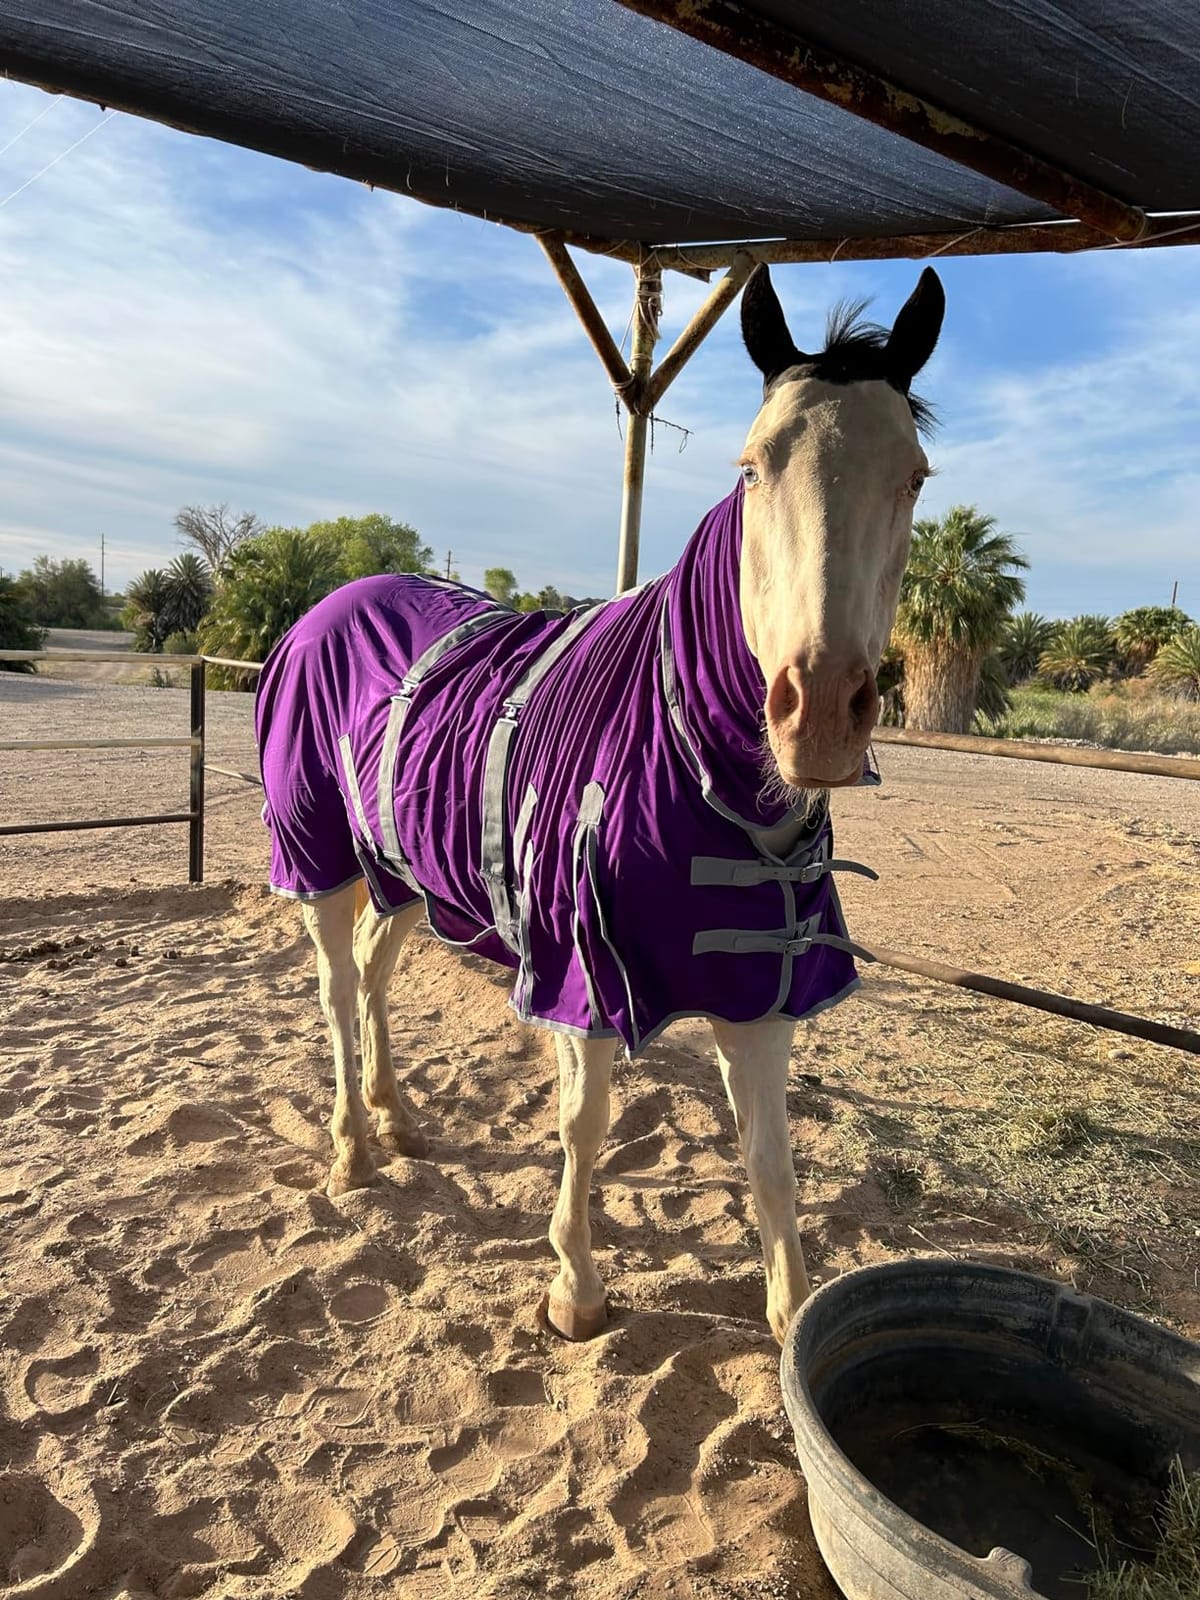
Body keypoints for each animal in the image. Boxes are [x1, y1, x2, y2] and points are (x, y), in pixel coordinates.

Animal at [255, 264, 944, 1345]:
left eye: (913, 476)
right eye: (754, 468)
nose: (822, 712)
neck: (704, 777)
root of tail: (325, 607)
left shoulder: (761, 991)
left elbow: (772, 1162)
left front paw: (792, 1314)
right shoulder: (580, 977)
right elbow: (584, 1125)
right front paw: (575, 1289)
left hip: (403, 872)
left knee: (371, 974)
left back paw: (398, 1117)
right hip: (319, 858)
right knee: (333, 989)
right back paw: (353, 1146)